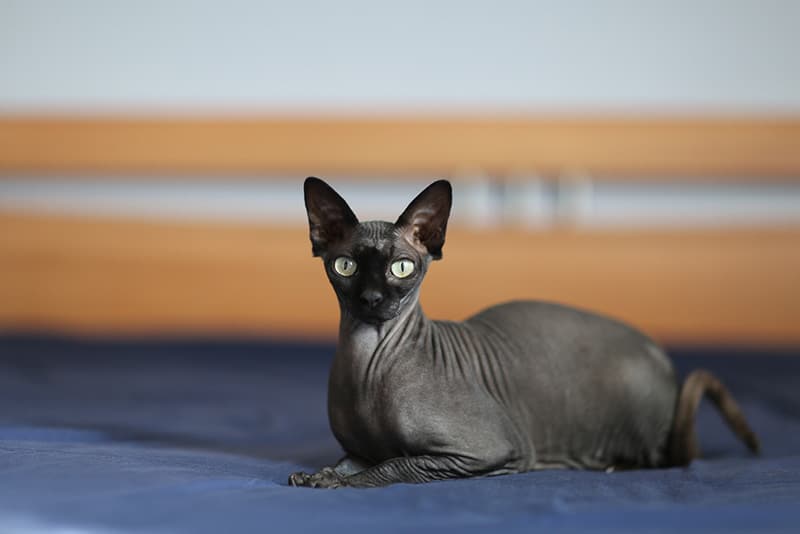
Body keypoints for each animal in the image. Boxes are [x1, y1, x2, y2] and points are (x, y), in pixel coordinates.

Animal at [288, 177, 756, 490]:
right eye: (345, 266)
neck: (367, 363)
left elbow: (393, 466)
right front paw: (318, 474)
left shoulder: (479, 451)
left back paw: (610, 464)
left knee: (660, 458)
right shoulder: (360, 448)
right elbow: (352, 459)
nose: (370, 298)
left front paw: (340, 482)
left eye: (401, 267)